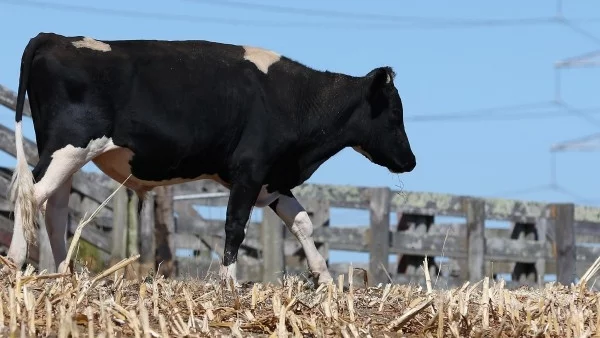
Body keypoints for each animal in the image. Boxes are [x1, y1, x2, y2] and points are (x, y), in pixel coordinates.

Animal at [4, 31, 418, 286]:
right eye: (394, 113)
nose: (411, 161)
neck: (295, 98)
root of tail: (56, 38)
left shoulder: (272, 177)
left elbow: (301, 222)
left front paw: (325, 280)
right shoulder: (250, 170)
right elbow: (235, 226)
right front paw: (229, 282)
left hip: (63, 154)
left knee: (55, 207)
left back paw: (63, 274)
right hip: (69, 146)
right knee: (33, 195)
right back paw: (15, 262)